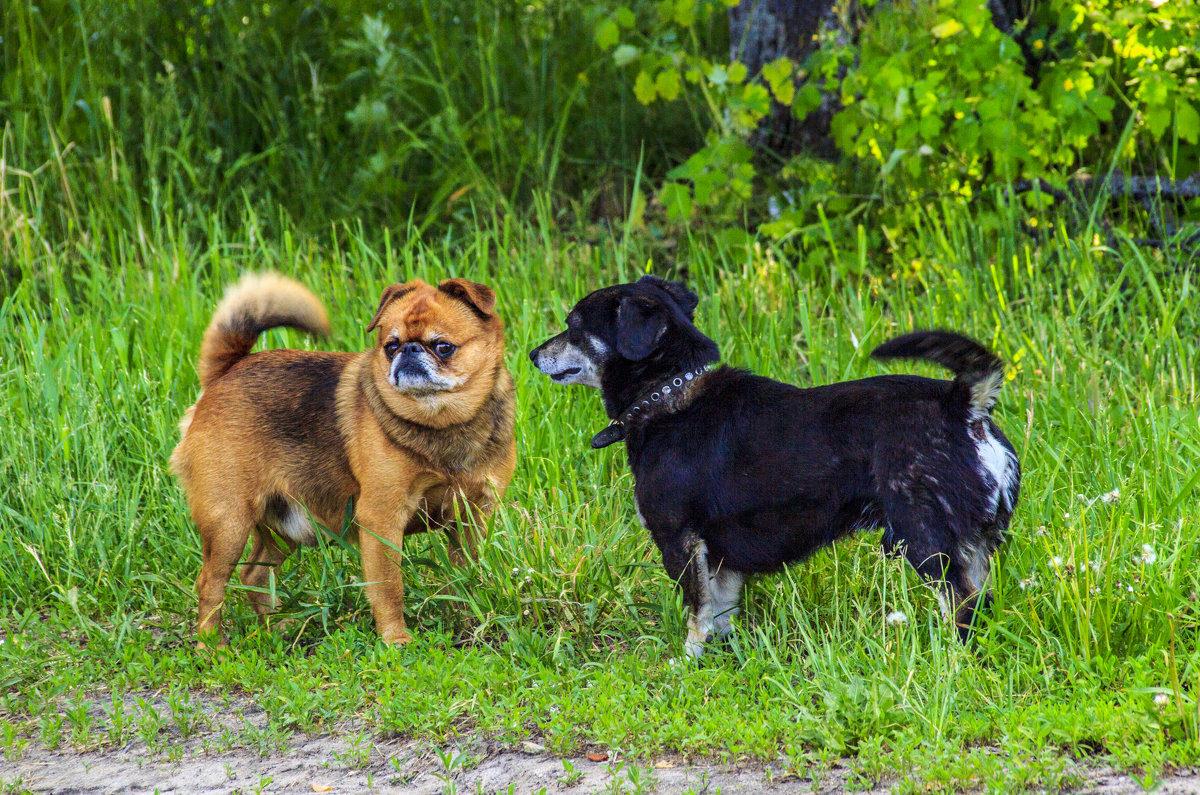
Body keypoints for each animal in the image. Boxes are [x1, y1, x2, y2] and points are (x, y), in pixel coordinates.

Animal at [170, 273, 516, 648]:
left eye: (443, 347)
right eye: (390, 346)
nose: (408, 350)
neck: (441, 422)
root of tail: (225, 372)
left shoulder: (472, 517)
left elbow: (465, 573)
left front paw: (468, 615)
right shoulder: (381, 520)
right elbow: (389, 587)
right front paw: (395, 639)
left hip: (283, 527)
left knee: (254, 574)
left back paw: (275, 628)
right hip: (228, 524)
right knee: (211, 584)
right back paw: (213, 646)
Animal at [535, 277, 1022, 658]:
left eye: (574, 326)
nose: (532, 354)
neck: (668, 396)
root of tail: (963, 404)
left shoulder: (680, 542)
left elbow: (698, 613)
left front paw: (687, 661)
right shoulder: (720, 557)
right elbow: (721, 612)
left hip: (926, 541)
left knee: (962, 606)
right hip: (975, 544)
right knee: (981, 602)